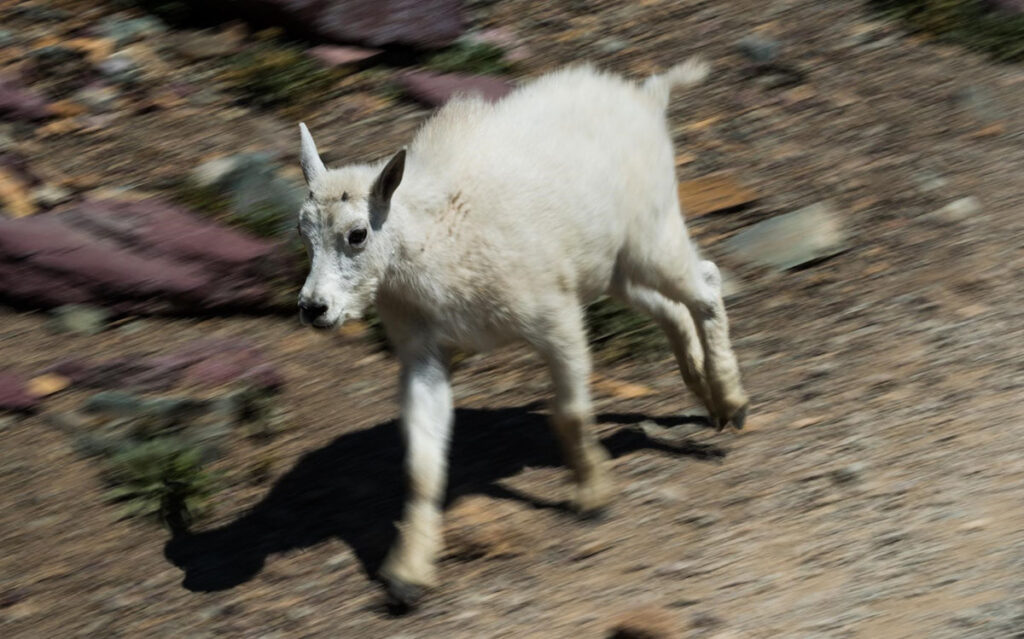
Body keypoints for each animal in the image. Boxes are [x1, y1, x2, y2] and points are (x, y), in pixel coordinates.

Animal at [295, 57, 748, 607]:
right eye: (302, 230)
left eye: (358, 234)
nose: (313, 308)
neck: (432, 244)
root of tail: (646, 97)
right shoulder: (425, 355)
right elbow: (422, 463)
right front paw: (408, 572)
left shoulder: (553, 318)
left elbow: (570, 413)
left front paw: (593, 496)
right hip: (613, 267)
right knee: (670, 310)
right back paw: (704, 393)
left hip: (651, 234)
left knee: (705, 284)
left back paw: (730, 400)